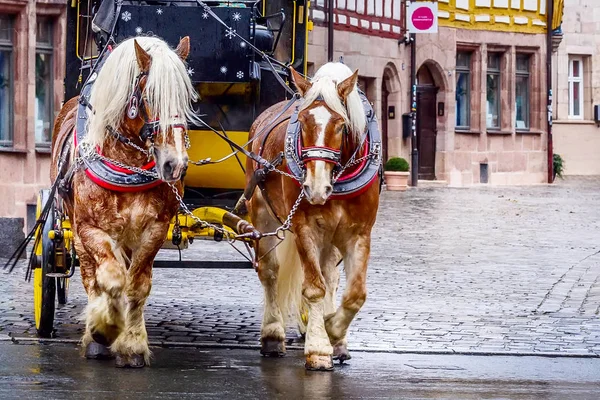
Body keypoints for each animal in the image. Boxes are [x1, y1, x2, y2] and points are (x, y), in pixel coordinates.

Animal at [51, 36, 197, 368]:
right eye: (150, 95)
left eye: (186, 97)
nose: (175, 164)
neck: (126, 164)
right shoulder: (89, 228)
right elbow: (111, 278)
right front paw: (104, 328)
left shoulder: (154, 229)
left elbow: (137, 284)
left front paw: (132, 344)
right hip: (75, 231)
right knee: (91, 277)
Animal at [246, 63, 382, 372]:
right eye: (303, 121)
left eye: (341, 124)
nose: (316, 188)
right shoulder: (304, 228)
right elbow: (314, 288)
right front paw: (320, 346)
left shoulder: (359, 233)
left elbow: (355, 294)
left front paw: (333, 332)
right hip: (262, 214)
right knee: (270, 272)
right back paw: (273, 334)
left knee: (330, 276)